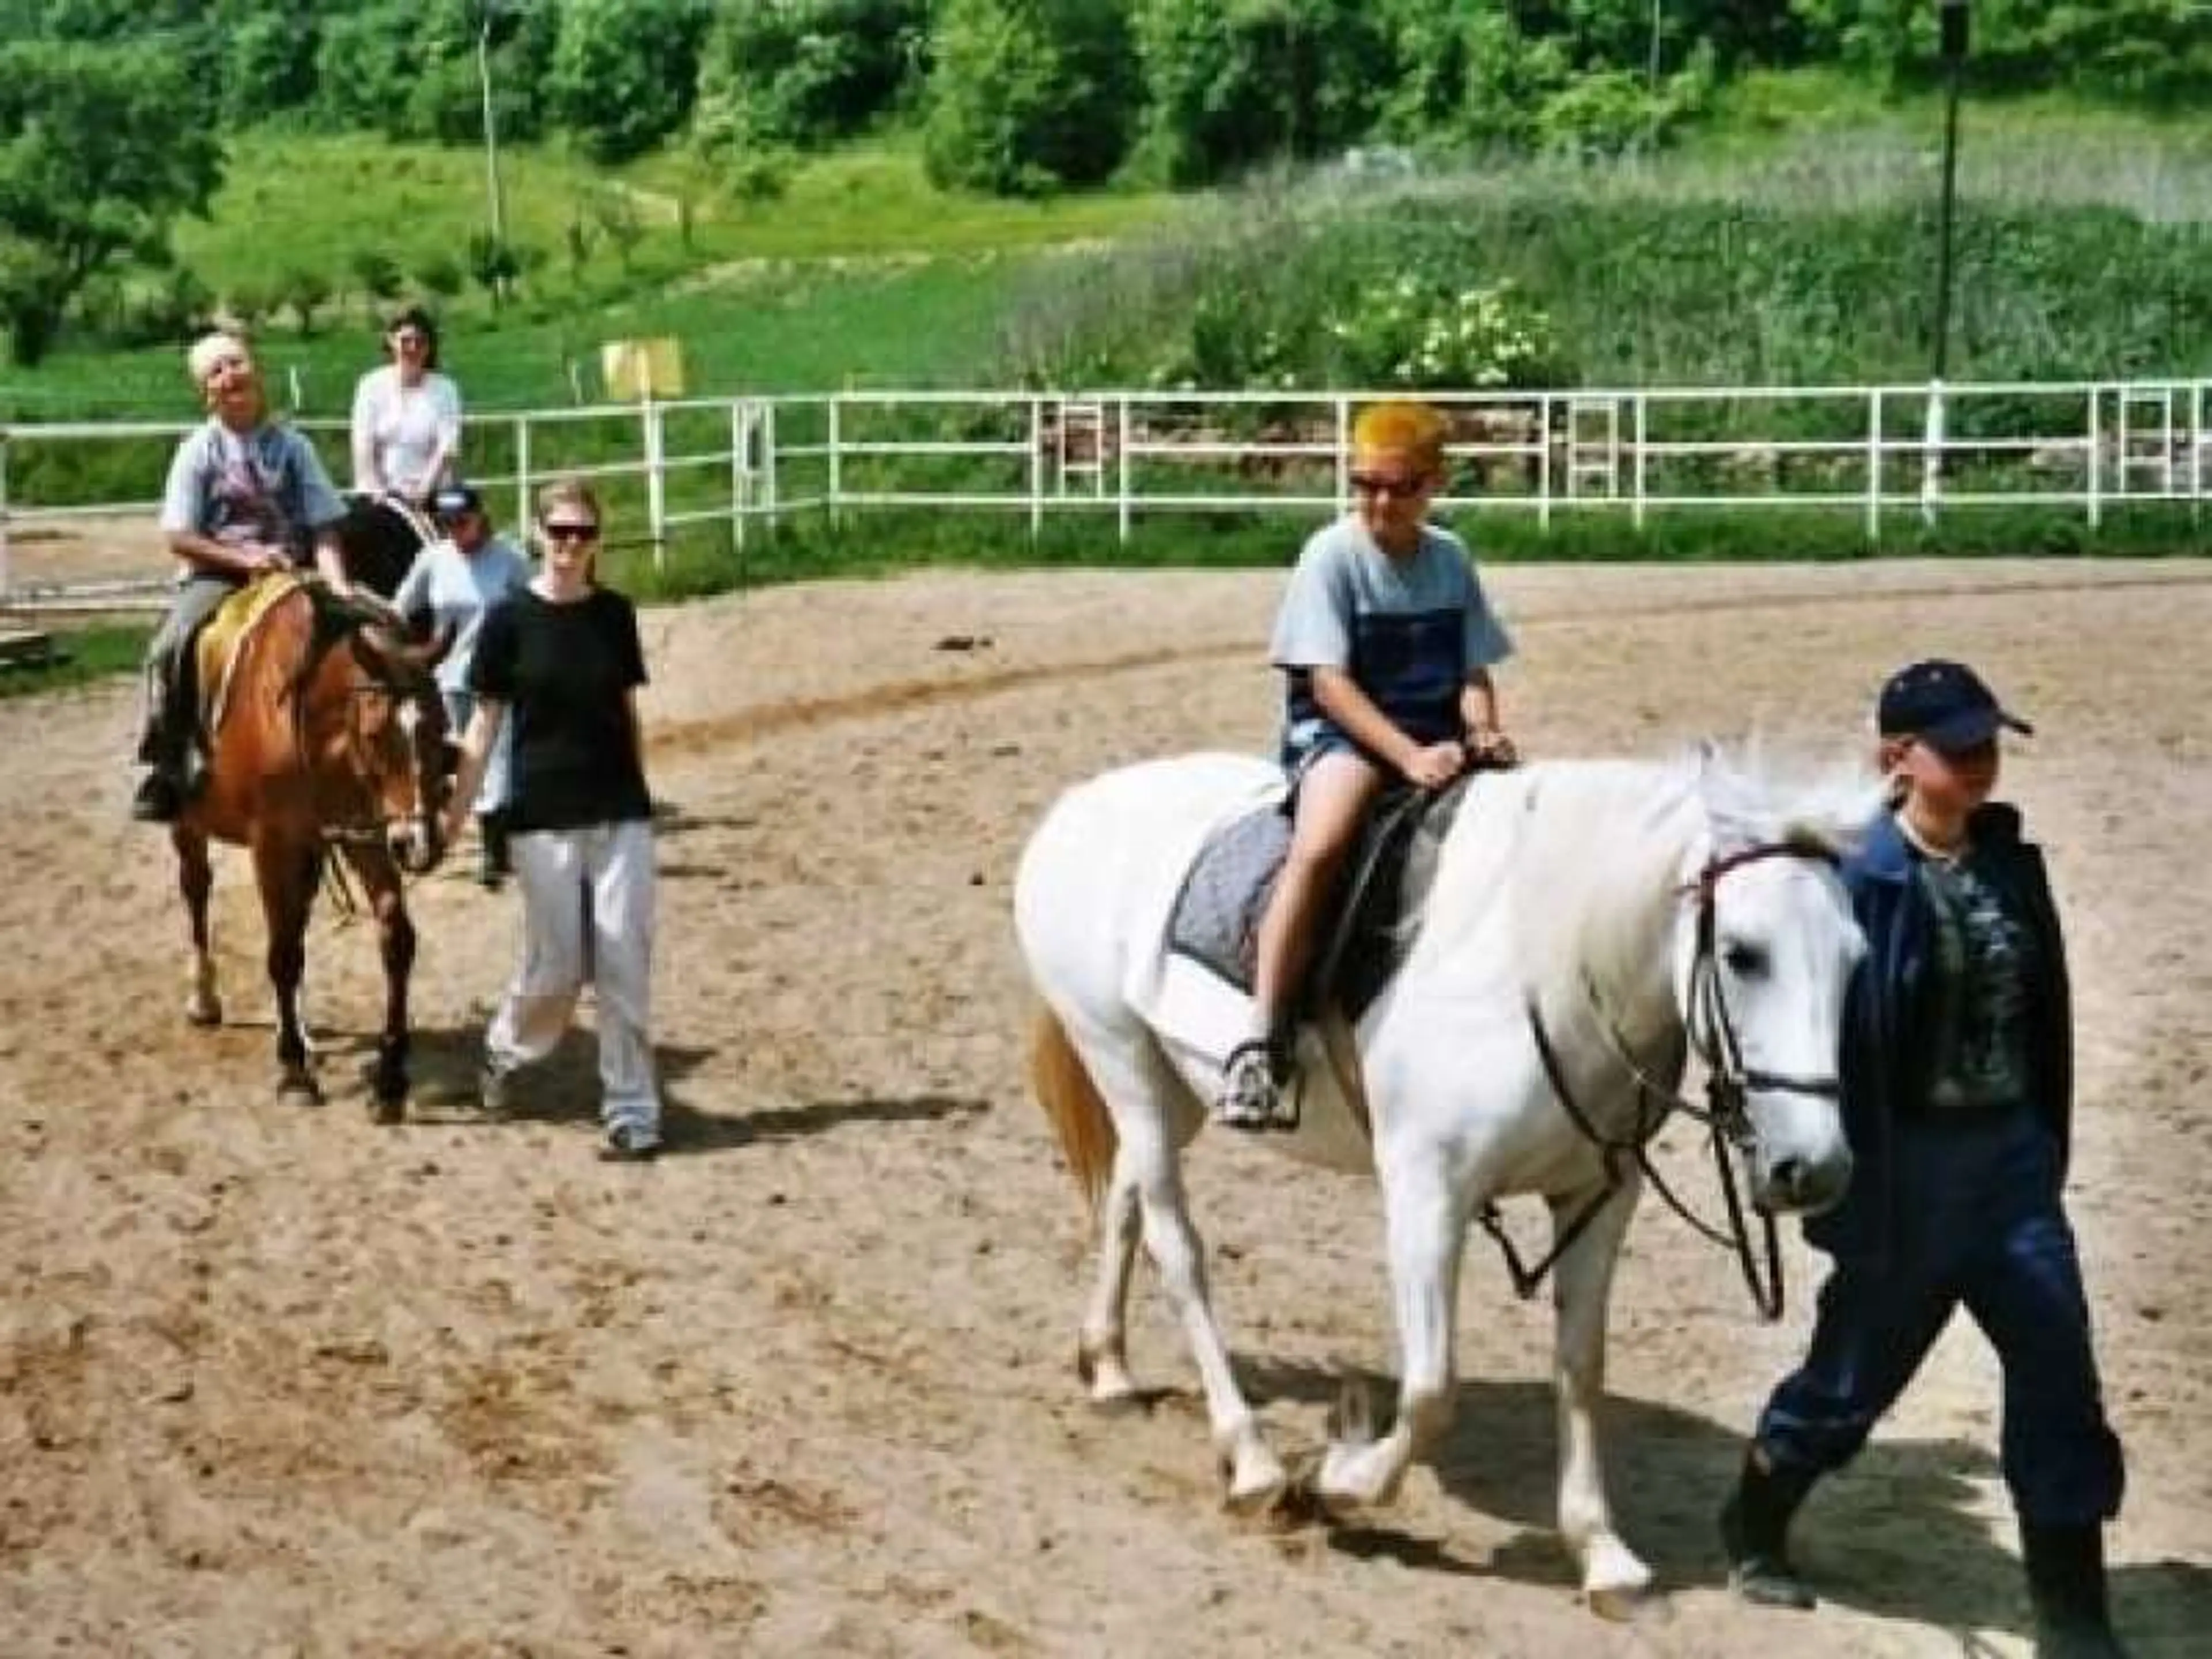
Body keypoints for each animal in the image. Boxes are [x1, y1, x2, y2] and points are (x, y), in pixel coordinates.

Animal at [172, 579, 453, 1119]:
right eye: (376, 735)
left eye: (441, 727)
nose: (419, 845)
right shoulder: (271, 844)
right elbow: (282, 954)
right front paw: (294, 1072)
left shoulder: (367, 835)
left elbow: (396, 939)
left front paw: (391, 1077)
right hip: (188, 826)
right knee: (197, 892)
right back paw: (204, 999)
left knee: (296, 919)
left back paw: (300, 1028)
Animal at [1013, 752, 1876, 1610]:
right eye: (1744, 954)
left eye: (1854, 960)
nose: (1817, 1168)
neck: (1544, 972)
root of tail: (1082, 803)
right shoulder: (1429, 1195)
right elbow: (1432, 1389)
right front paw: (1344, 1482)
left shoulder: (1599, 1199)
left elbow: (1581, 1369)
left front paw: (1602, 1553)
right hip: (1121, 1058)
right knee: (1179, 1248)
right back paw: (1252, 1462)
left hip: (1170, 1090)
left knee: (1126, 1201)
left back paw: (1110, 1368)